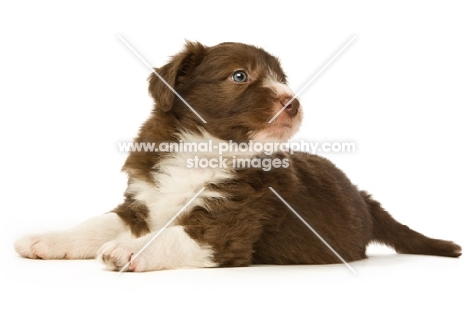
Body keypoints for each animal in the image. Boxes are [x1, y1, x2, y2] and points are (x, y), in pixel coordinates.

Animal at [13, 41, 460, 272]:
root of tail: (365, 200)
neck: (205, 146)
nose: (293, 101)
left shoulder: (231, 224)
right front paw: (47, 239)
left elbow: (171, 234)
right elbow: (96, 224)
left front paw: (128, 250)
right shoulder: (143, 200)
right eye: (239, 76)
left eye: (282, 79)